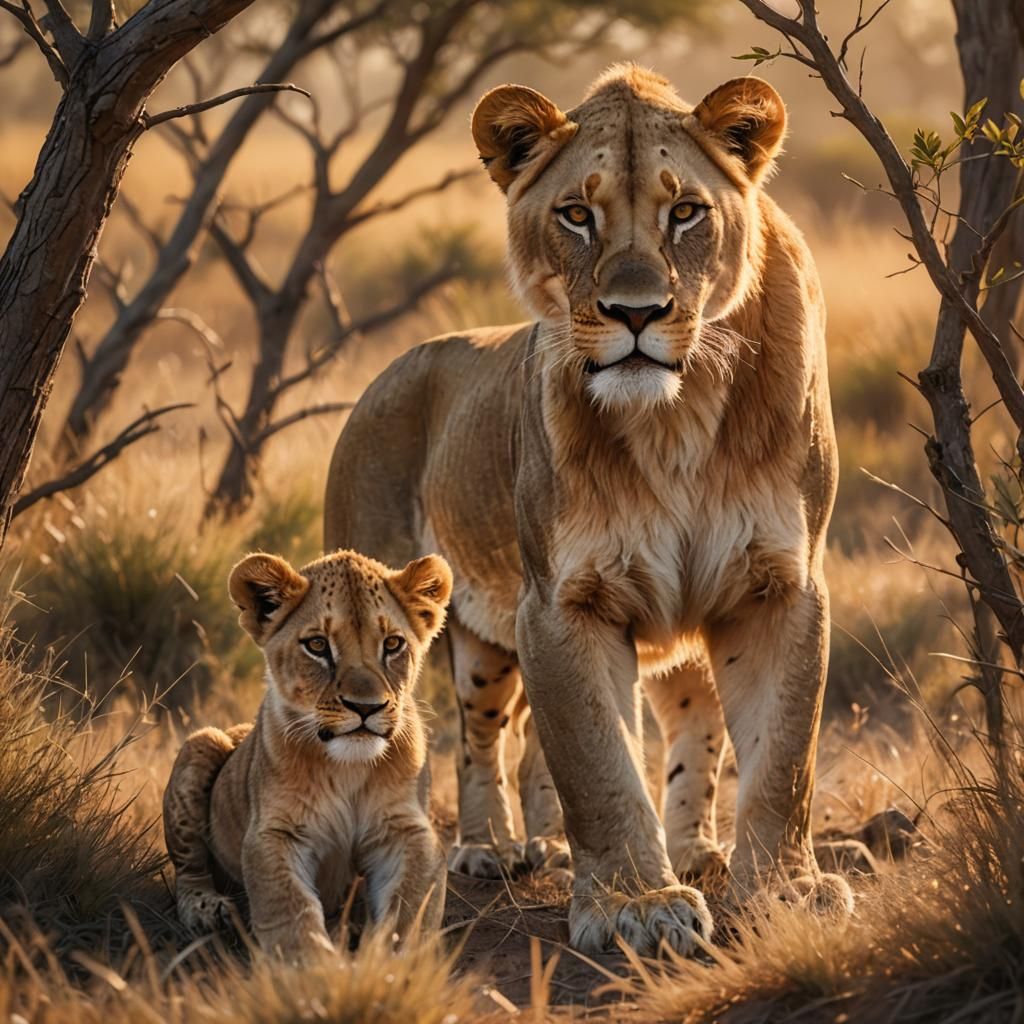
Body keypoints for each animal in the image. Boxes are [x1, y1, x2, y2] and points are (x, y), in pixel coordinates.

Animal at [162, 549, 452, 958]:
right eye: (317, 646)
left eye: (393, 644)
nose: (366, 707)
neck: (348, 767)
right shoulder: (273, 832)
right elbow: (290, 909)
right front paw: (313, 969)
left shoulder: (408, 829)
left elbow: (407, 912)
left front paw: (387, 963)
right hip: (201, 742)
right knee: (188, 871)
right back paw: (208, 909)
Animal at [324, 64, 852, 956]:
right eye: (577, 214)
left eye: (686, 212)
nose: (635, 314)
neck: (677, 415)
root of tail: (390, 370)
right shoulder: (563, 602)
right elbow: (599, 764)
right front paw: (635, 903)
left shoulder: (780, 585)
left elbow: (782, 759)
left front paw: (784, 892)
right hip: (432, 627)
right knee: (478, 734)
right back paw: (489, 847)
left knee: (676, 727)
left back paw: (670, 847)